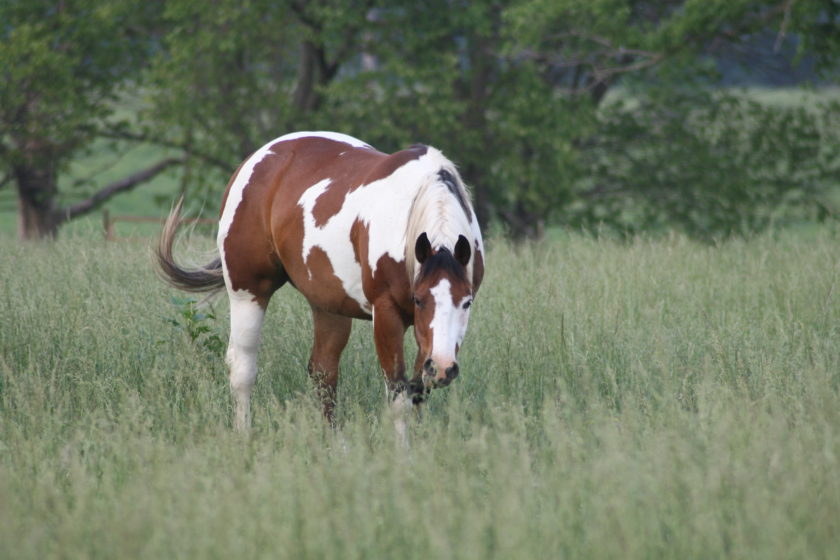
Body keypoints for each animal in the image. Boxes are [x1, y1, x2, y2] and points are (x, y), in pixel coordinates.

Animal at [158, 130, 486, 428]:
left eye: (467, 303)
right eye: (418, 300)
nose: (443, 368)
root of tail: (255, 161)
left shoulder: (428, 338)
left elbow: (417, 395)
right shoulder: (387, 315)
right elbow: (398, 397)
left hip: (328, 307)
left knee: (323, 373)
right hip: (247, 292)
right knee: (242, 369)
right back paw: (244, 436)